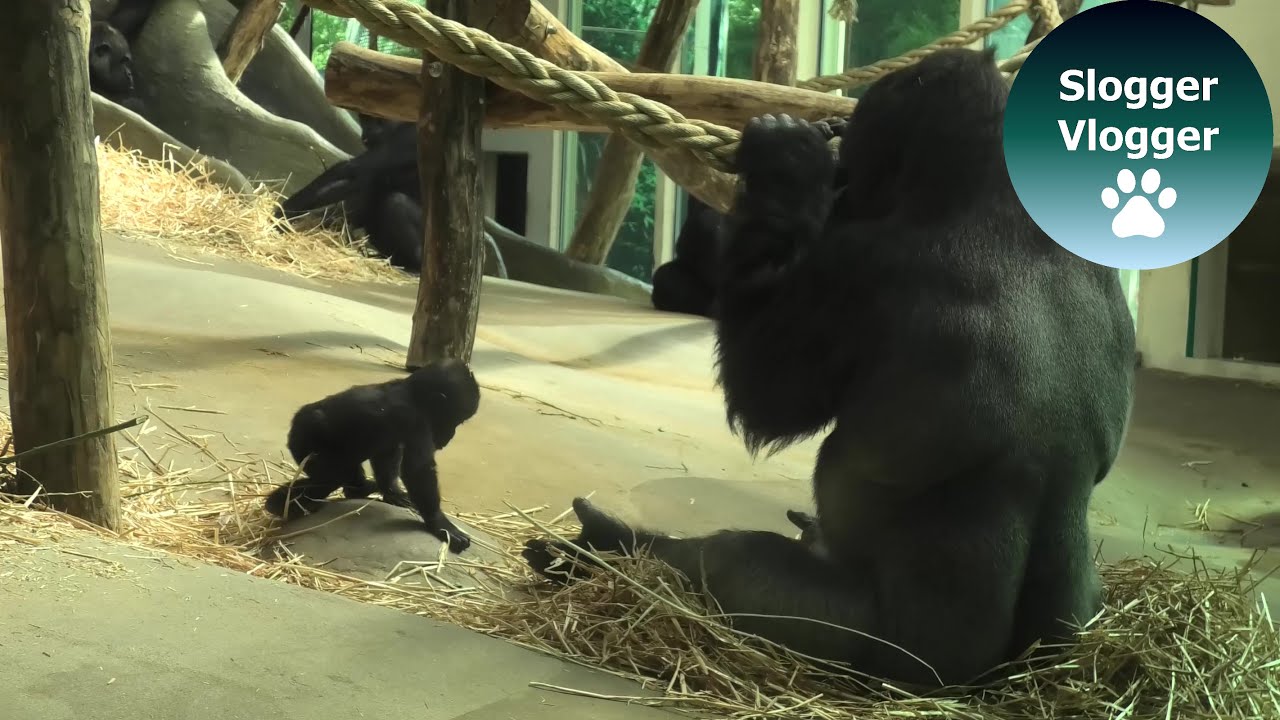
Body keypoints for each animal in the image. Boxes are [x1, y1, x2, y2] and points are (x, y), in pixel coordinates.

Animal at [263, 359, 482, 554]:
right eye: (456, 420)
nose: (450, 435)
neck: (413, 396)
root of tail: (294, 423)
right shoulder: (414, 420)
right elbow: (418, 470)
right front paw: (440, 523)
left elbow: (388, 455)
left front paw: (393, 492)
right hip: (307, 444)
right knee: (329, 478)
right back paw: (279, 505)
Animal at [522, 48, 1136, 688]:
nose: (843, 172)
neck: (992, 195)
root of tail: (999, 680)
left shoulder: (860, 263)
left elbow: (767, 397)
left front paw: (788, 165)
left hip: (884, 657)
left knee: (734, 560)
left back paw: (604, 549)